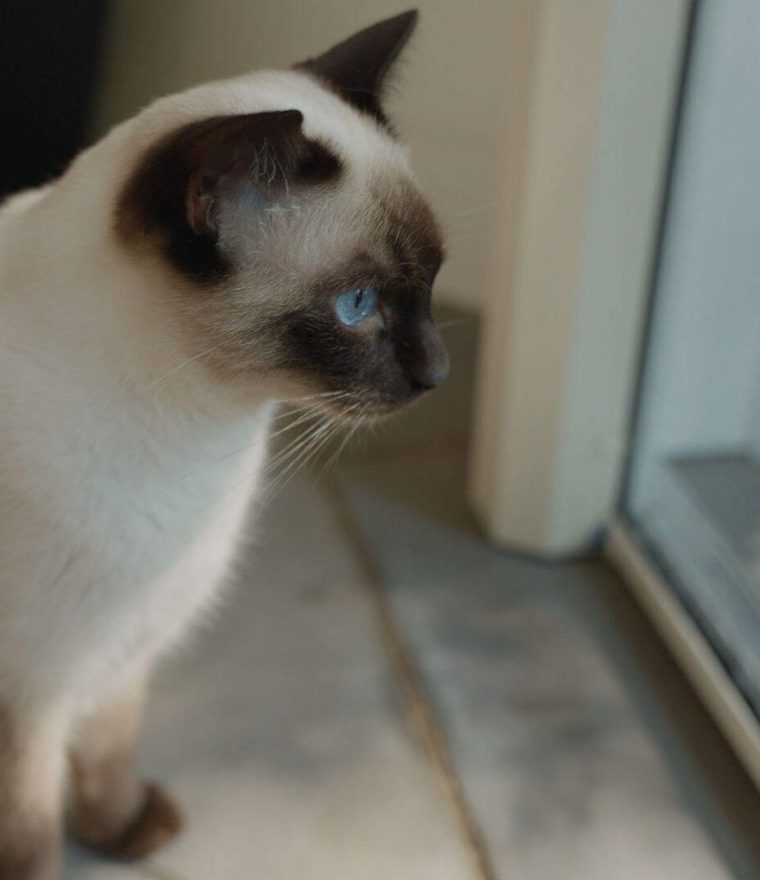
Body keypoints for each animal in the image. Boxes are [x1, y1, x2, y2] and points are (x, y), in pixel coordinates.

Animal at [0, 8, 446, 880]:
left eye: (436, 279)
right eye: (356, 305)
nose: (438, 372)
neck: (198, 443)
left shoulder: (128, 641)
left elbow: (108, 751)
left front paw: (124, 831)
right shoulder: (31, 688)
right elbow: (30, 835)